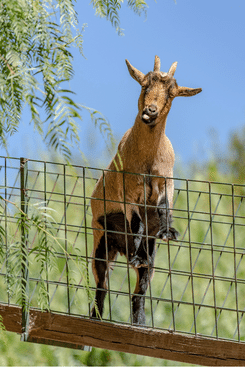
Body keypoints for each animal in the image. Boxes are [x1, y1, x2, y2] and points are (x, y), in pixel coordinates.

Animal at [91, 54, 202, 324]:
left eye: (171, 94)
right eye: (144, 86)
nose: (150, 111)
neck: (149, 159)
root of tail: (122, 249)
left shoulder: (167, 182)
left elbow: (163, 209)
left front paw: (168, 231)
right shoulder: (128, 192)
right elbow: (137, 223)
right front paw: (139, 254)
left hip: (150, 256)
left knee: (140, 286)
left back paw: (139, 321)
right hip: (100, 239)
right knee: (102, 284)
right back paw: (97, 316)